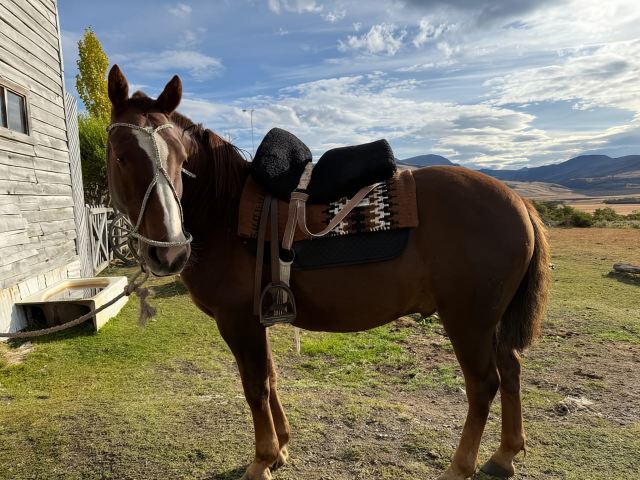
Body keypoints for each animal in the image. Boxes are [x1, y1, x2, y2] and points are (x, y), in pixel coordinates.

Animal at [105, 64, 550, 480]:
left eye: (181, 160)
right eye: (121, 156)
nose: (170, 251)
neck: (225, 210)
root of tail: (518, 201)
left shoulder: (237, 321)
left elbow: (255, 387)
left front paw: (262, 458)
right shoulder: (257, 316)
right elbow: (271, 378)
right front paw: (282, 447)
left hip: (468, 320)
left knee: (484, 384)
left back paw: (461, 465)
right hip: (491, 321)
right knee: (511, 370)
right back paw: (504, 454)